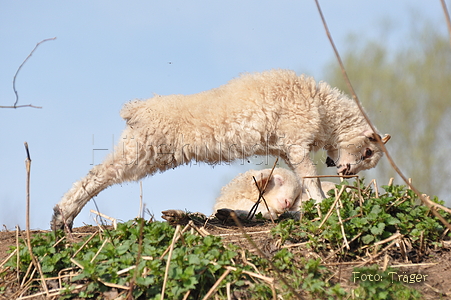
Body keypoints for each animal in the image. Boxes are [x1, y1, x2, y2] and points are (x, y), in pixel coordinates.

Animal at [49, 69, 390, 230]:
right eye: (368, 152)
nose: (345, 171)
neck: (321, 107)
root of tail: (138, 109)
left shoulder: (285, 150)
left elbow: (300, 180)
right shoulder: (296, 142)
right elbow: (311, 178)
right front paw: (323, 205)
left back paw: (62, 219)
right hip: (141, 150)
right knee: (97, 176)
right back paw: (62, 217)